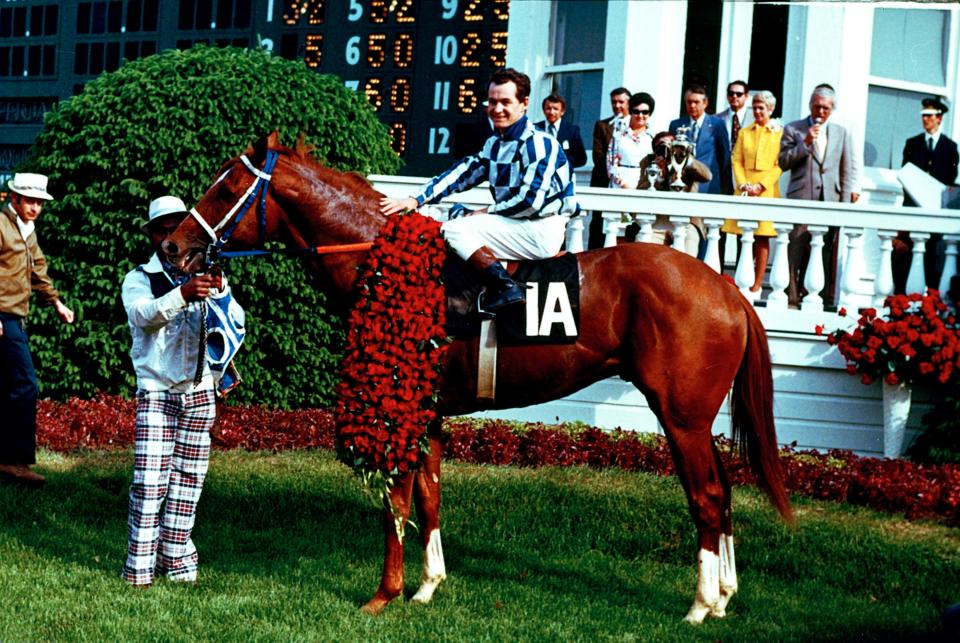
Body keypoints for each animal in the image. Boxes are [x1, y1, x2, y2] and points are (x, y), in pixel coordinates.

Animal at [165, 132, 792, 624]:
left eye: (226, 189)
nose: (171, 246)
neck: (381, 262)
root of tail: (729, 290)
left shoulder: (399, 403)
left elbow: (396, 500)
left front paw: (383, 595)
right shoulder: (431, 411)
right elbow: (430, 496)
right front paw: (426, 588)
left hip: (681, 415)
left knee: (706, 496)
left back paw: (700, 604)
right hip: (696, 418)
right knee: (724, 491)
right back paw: (725, 595)